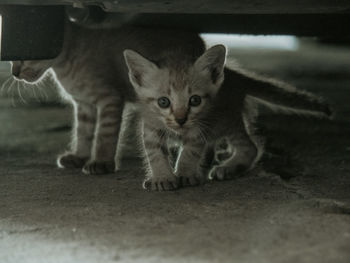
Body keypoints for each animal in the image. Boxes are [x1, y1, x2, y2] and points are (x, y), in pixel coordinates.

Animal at [11, 20, 205, 175]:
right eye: (11, 57)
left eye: (25, 55)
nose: (14, 73)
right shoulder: (84, 104)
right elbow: (83, 132)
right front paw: (79, 156)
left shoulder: (109, 98)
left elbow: (105, 134)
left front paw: (102, 162)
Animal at [123, 44, 330, 191]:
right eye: (163, 102)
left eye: (195, 100)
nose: (181, 120)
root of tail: (234, 75)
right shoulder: (151, 125)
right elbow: (154, 152)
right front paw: (162, 177)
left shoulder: (200, 126)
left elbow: (190, 151)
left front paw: (185, 173)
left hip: (228, 120)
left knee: (251, 147)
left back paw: (229, 167)